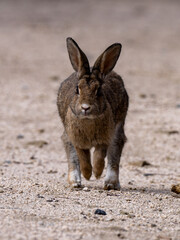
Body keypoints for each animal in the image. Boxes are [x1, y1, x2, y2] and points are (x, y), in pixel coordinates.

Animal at [57, 37, 129, 190]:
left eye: (99, 90)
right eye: (77, 89)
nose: (85, 107)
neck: (88, 120)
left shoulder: (104, 139)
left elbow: (99, 157)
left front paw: (96, 173)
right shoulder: (76, 139)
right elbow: (82, 157)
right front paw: (87, 174)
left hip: (118, 130)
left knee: (114, 154)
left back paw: (110, 184)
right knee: (72, 157)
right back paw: (75, 182)